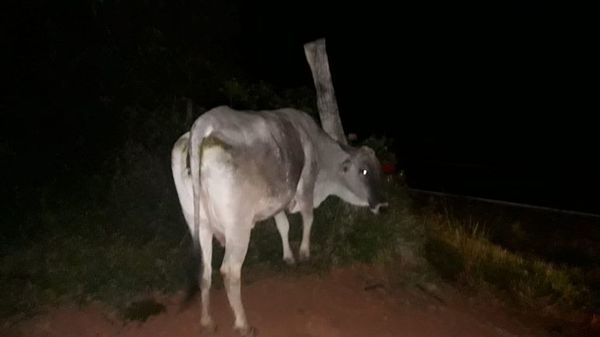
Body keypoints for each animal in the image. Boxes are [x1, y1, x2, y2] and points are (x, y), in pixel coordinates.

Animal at [172, 104, 390, 334]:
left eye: (378, 169)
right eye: (364, 171)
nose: (383, 205)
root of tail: (204, 123)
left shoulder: (279, 199)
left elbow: (283, 226)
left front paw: (289, 256)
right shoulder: (307, 184)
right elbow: (308, 217)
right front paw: (304, 252)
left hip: (198, 223)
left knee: (204, 270)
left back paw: (207, 320)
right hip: (238, 228)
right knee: (230, 271)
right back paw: (243, 324)